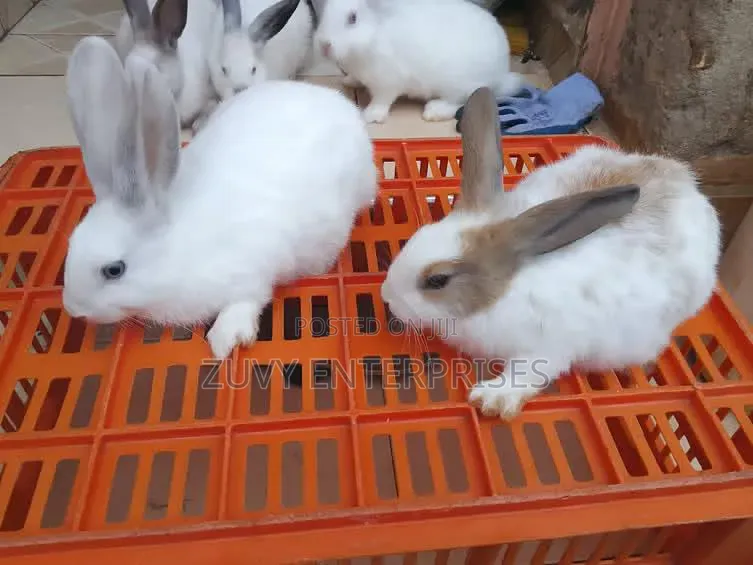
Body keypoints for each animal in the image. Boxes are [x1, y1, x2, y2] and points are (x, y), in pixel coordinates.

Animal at [62, 35, 378, 360]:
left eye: (114, 270)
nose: (73, 309)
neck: (176, 249)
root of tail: (338, 102)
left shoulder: (252, 269)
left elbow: (246, 300)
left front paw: (225, 339)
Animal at [313, 0, 524, 123]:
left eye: (353, 18)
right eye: (324, 13)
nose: (323, 45)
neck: (373, 36)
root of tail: (501, 74)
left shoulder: (387, 83)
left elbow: (382, 100)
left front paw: (370, 115)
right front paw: (348, 81)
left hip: (459, 86)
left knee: (460, 102)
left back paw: (433, 111)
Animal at [380, 87, 722, 420]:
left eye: (437, 280)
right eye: (414, 237)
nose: (386, 297)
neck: (504, 292)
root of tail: (684, 180)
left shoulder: (549, 348)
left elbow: (528, 372)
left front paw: (490, 399)